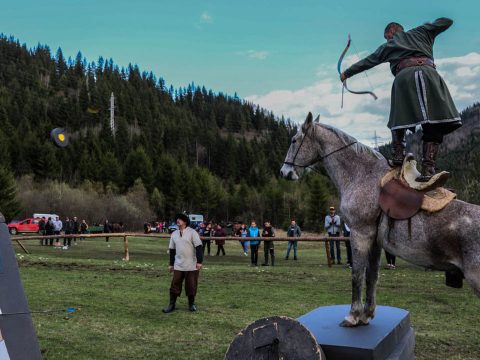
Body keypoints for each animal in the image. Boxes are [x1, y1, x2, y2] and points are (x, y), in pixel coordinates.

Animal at [280, 114, 480, 328]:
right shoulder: (375, 241)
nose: (284, 172)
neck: (361, 175)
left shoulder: (360, 234)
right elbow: (372, 276)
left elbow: (357, 274)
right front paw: (367, 313)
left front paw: (353, 315)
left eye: (294, 140)